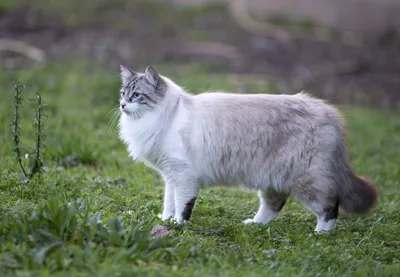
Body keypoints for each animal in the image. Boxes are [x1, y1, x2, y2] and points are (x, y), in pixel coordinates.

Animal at [116, 64, 378, 231]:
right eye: (123, 93)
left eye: (136, 95)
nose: (122, 105)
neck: (165, 116)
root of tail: (329, 112)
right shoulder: (170, 176)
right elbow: (169, 204)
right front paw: (166, 221)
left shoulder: (183, 176)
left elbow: (182, 207)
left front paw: (178, 226)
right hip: (272, 179)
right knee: (274, 205)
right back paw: (255, 225)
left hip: (306, 181)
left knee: (329, 206)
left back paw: (320, 234)